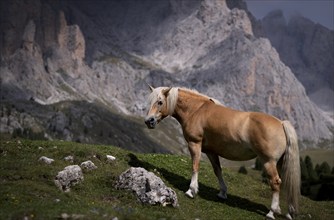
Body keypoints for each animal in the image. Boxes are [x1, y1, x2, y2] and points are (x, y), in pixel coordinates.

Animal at [145, 86, 302, 220]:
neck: (196, 110)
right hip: (280, 163)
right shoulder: (211, 151)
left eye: (160, 102)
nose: (148, 121)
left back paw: (271, 212)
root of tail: (281, 123)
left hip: (268, 162)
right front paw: (222, 193)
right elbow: (217, 171)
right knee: (287, 182)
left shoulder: (195, 144)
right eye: (150, 101)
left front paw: (191, 190)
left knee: (275, 182)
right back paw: (289, 212)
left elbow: (195, 166)